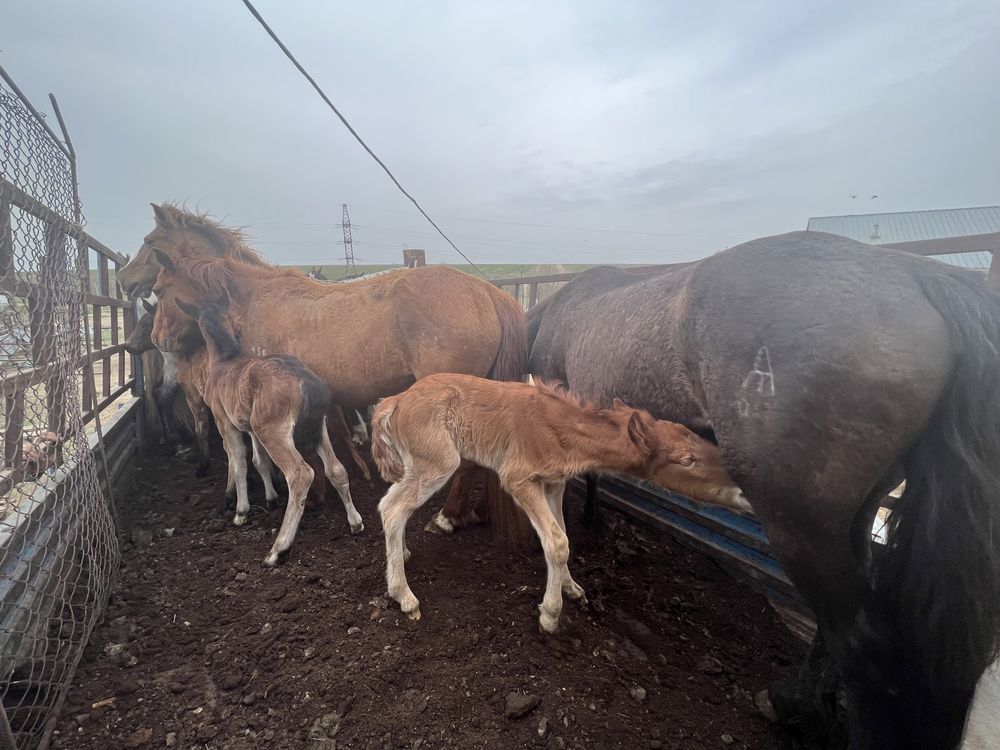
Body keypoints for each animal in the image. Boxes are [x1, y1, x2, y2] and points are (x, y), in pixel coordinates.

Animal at [178, 296, 366, 568]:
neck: (223, 360)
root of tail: (305, 380)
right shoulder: (250, 428)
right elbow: (260, 461)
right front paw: (270, 497)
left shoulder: (226, 423)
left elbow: (238, 461)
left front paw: (240, 510)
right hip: (317, 427)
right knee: (336, 469)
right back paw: (355, 522)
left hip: (273, 430)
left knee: (301, 474)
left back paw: (278, 549)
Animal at [372, 374, 748, 632]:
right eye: (686, 460)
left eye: (697, 439)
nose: (741, 490)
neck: (562, 431)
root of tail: (393, 402)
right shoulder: (519, 478)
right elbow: (556, 542)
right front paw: (551, 614)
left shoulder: (554, 485)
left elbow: (565, 534)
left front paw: (572, 588)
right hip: (437, 461)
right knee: (392, 509)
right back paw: (404, 596)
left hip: (417, 463)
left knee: (392, 502)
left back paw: (402, 554)